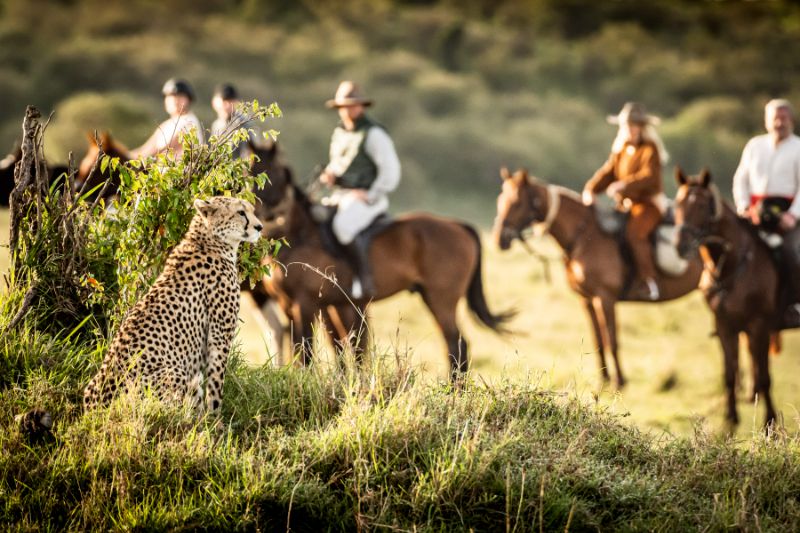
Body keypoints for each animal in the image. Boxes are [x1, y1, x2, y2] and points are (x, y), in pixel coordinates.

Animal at [257, 173, 514, 381]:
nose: (263, 220)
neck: (302, 234)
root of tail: (458, 225)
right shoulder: (313, 304)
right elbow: (338, 344)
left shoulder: (308, 303)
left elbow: (311, 346)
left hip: (441, 300)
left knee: (456, 343)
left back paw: (454, 389)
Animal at [493, 167, 704, 389]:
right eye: (500, 199)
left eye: (516, 202)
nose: (499, 238)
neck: (584, 236)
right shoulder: (586, 299)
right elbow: (598, 340)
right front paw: (603, 380)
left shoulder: (605, 297)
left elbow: (612, 340)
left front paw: (619, 381)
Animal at [672, 167, 786, 428]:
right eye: (678, 204)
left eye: (702, 206)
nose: (681, 246)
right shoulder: (725, 326)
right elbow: (729, 374)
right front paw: (730, 421)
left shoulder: (760, 324)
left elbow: (765, 376)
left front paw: (770, 423)